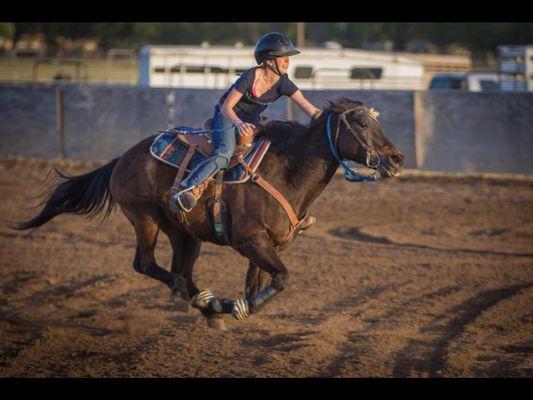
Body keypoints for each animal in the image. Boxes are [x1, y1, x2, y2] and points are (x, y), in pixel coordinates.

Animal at [15, 97, 404, 332]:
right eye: (360, 122)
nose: (397, 158)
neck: (287, 170)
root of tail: (122, 158)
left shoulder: (268, 245)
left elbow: (257, 284)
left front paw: (238, 306)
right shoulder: (250, 240)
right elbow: (280, 278)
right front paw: (235, 307)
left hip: (184, 233)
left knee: (182, 271)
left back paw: (208, 305)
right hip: (144, 217)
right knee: (148, 265)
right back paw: (206, 300)